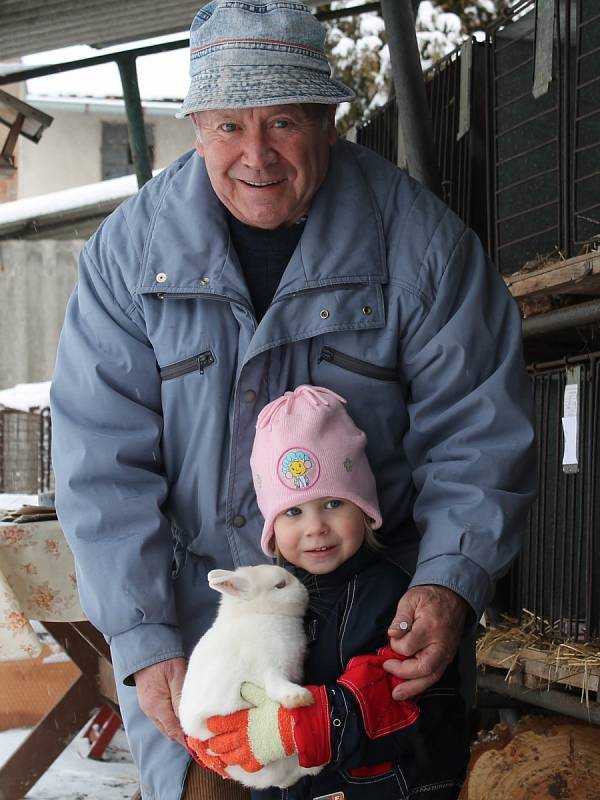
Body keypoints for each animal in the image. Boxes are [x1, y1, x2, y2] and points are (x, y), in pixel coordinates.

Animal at [179, 564, 324, 792]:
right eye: (280, 585)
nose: (304, 590)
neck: (259, 613)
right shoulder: (270, 668)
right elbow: (277, 686)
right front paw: (299, 697)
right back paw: (316, 767)